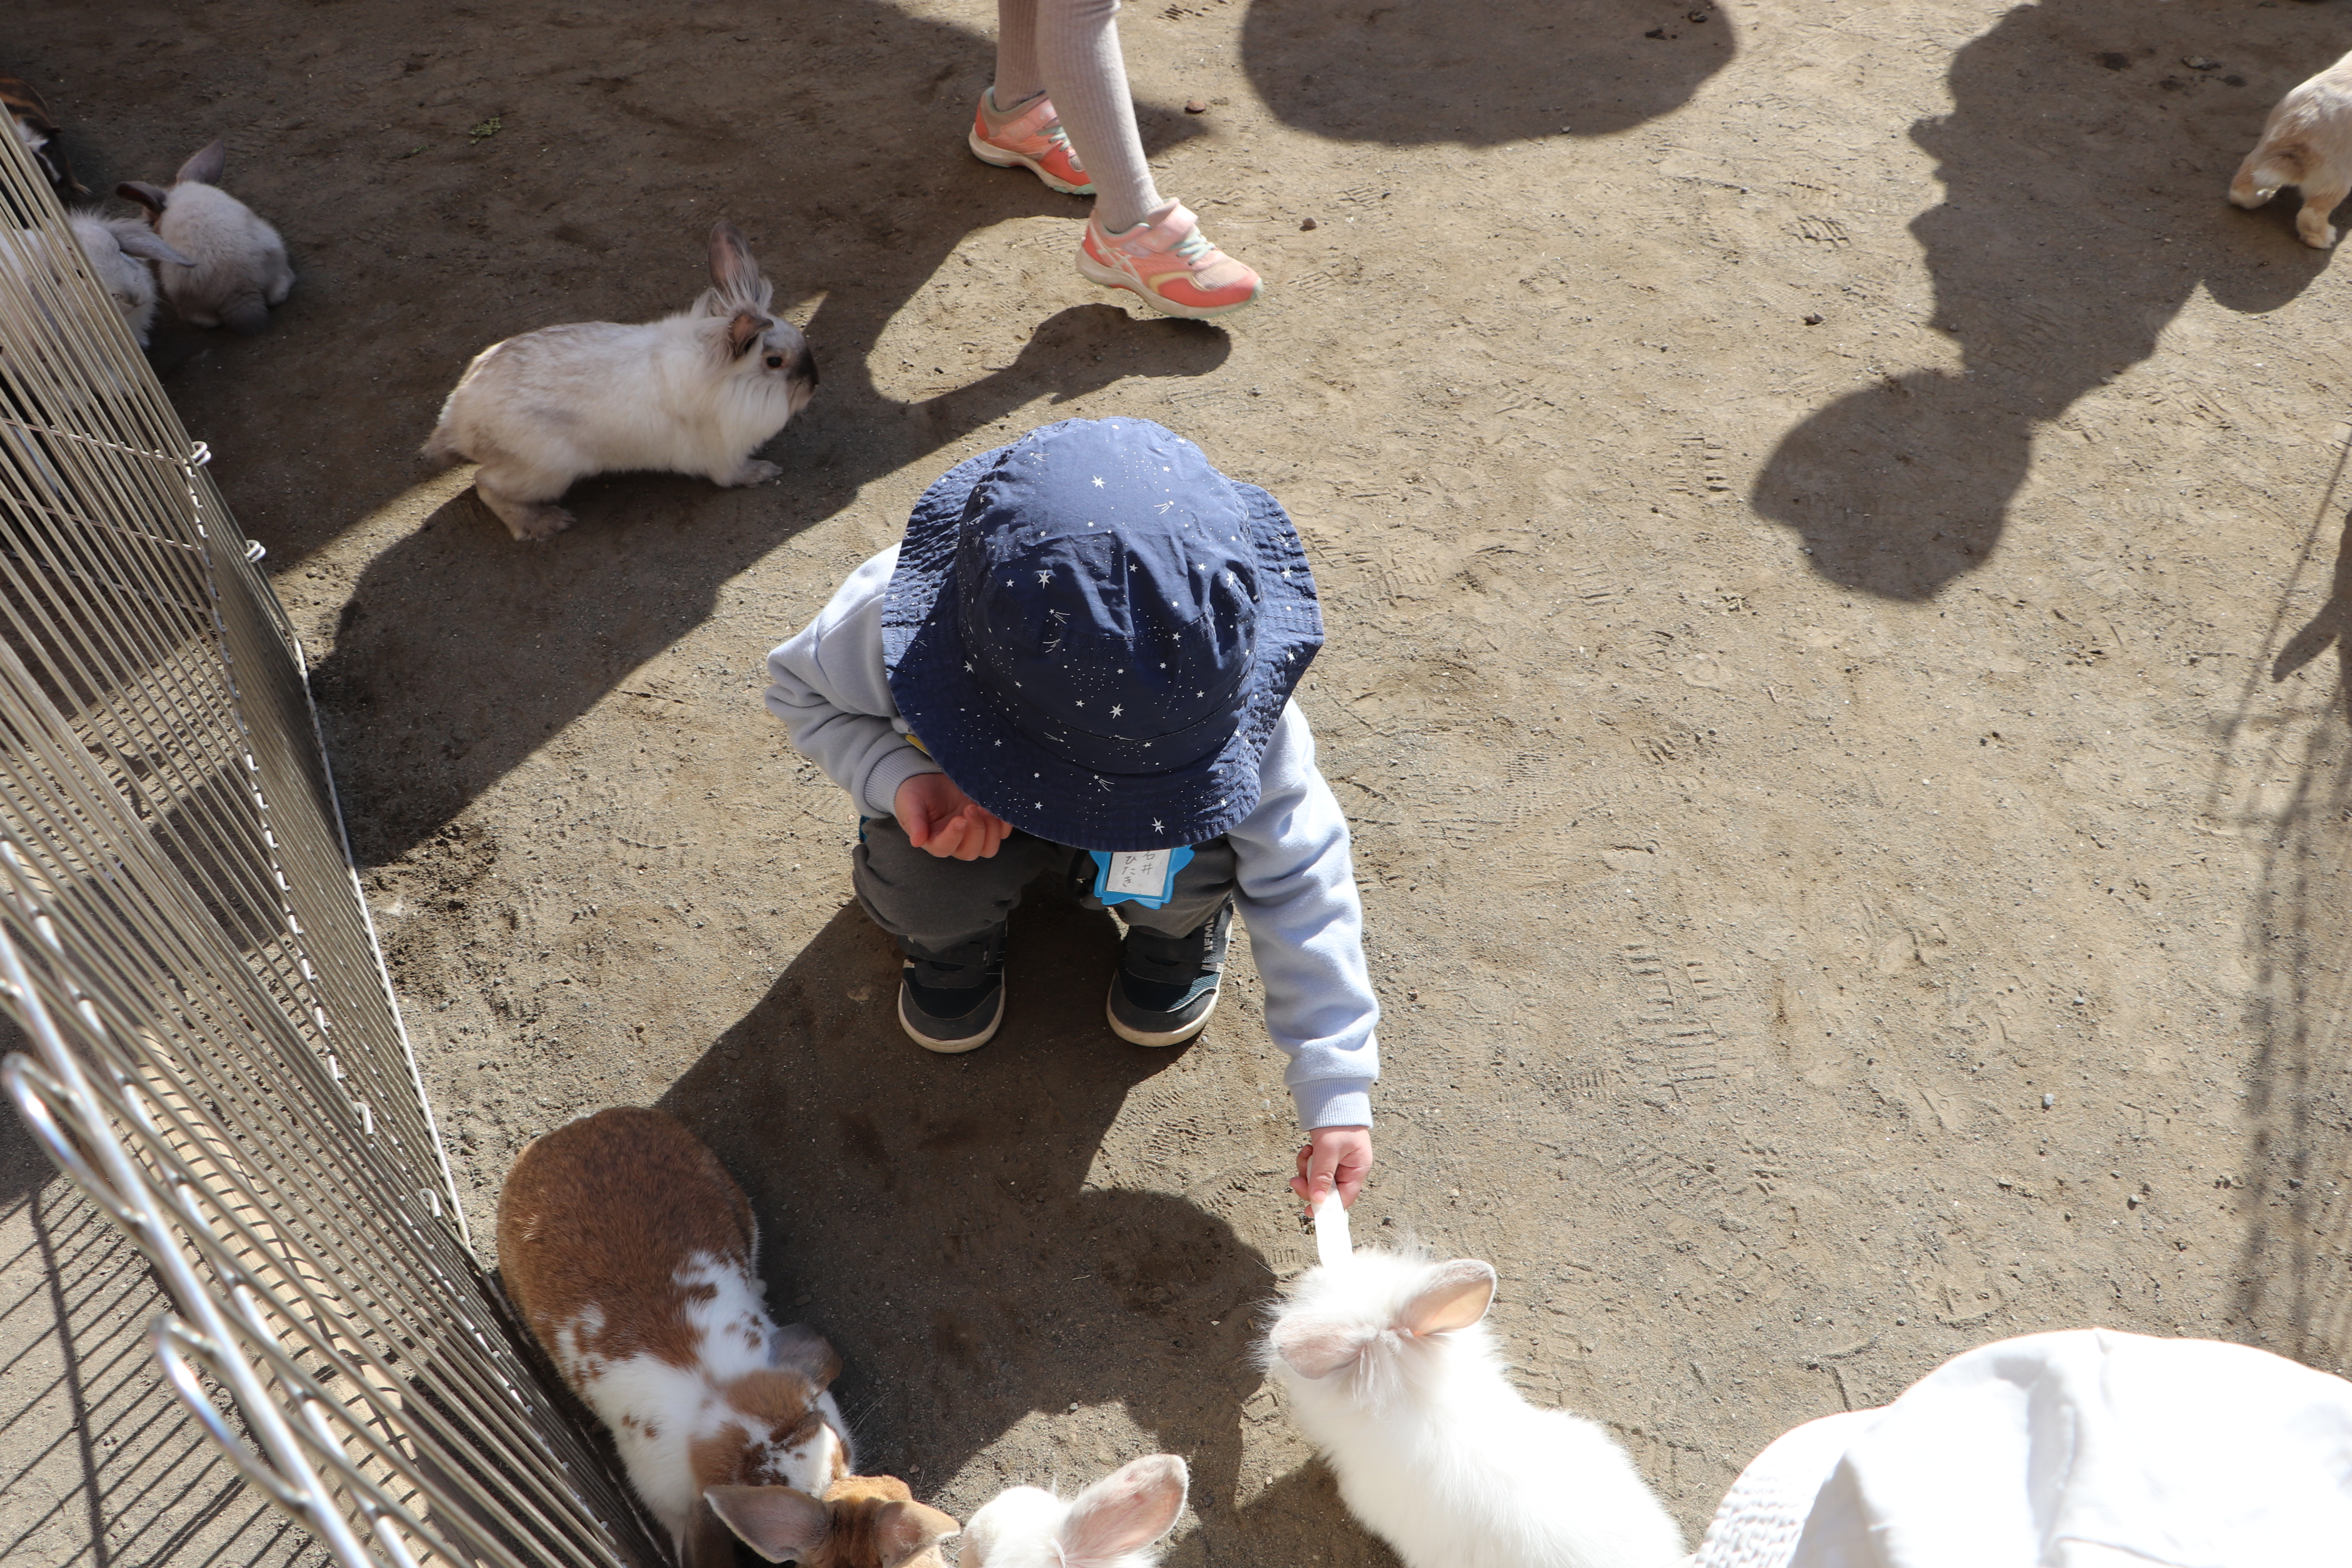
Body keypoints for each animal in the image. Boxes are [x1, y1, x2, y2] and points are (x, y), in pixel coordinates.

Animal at [423, 217, 818, 543]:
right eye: (774, 362)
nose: (814, 384)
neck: (721, 377)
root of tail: (456, 420)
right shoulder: (724, 455)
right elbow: (733, 476)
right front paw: (765, 471)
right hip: (545, 470)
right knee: (486, 485)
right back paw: (544, 523)